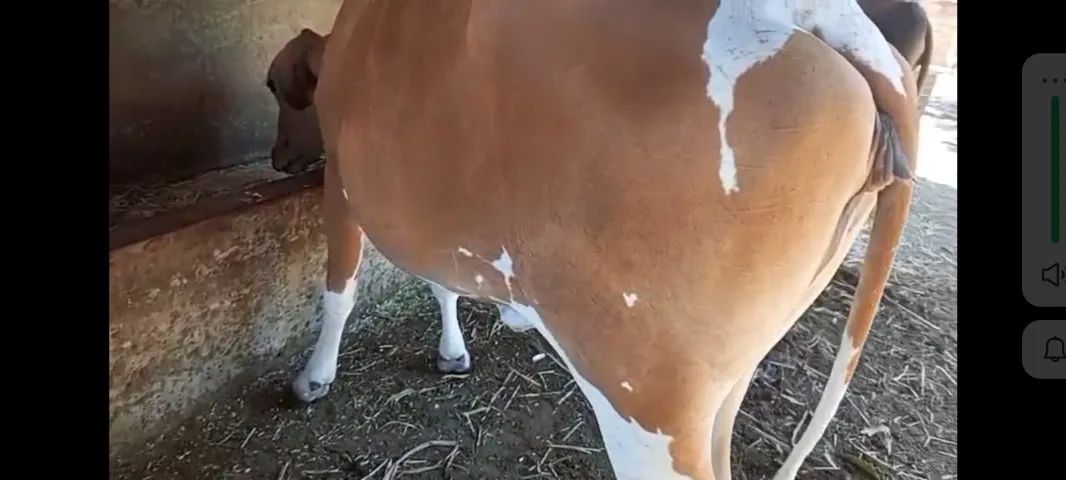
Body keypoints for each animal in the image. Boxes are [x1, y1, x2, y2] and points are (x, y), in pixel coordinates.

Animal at [264, 1, 920, 479]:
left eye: (274, 88)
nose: (275, 158)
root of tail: (822, 16)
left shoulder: (341, 183)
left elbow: (340, 290)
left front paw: (313, 378)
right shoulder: (429, 213)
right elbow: (441, 283)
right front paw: (453, 352)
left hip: (645, 396)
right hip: (727, 377)